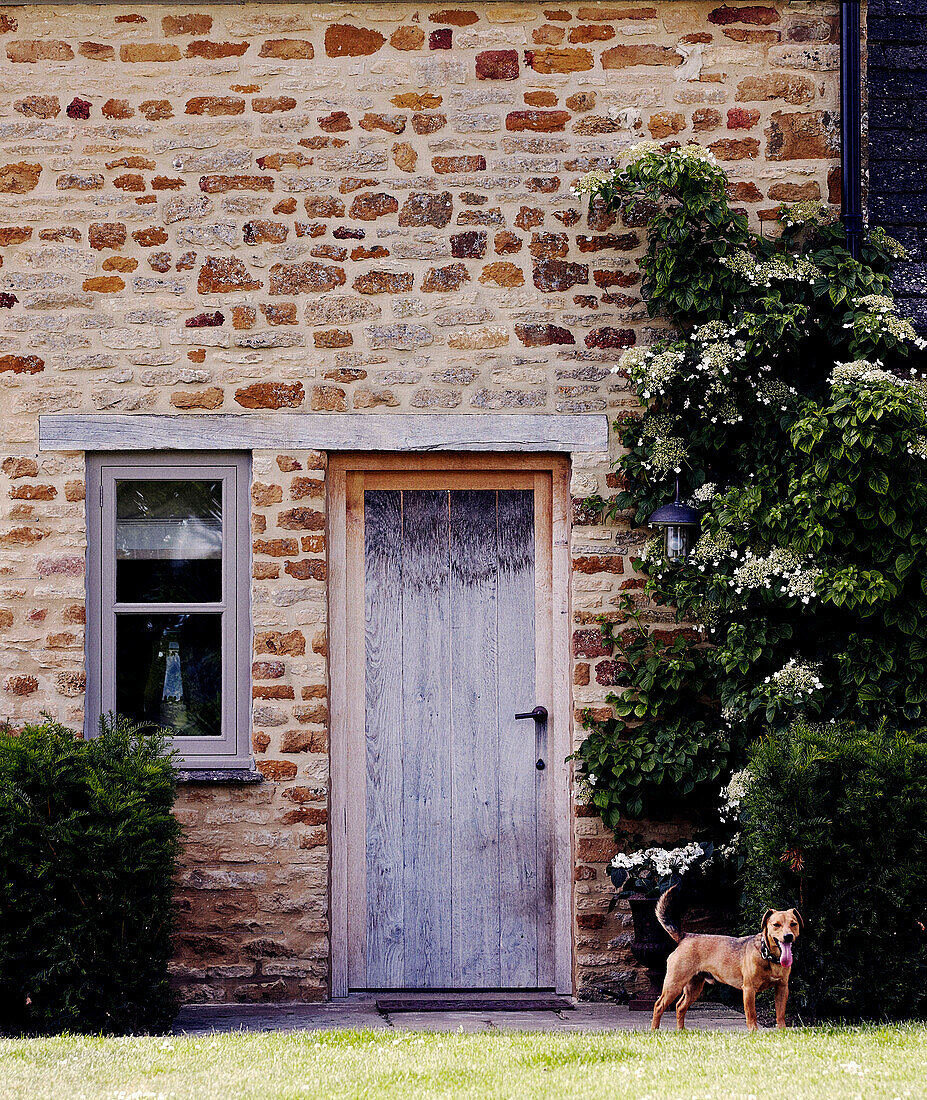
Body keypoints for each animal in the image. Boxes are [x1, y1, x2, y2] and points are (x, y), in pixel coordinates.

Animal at [650, 884, 800, 1029]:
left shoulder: (782, 988)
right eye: (776, 925)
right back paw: (654, 1030)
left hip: (694, 986)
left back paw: (681, 1031)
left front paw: (782, 1031)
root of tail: (685, 936)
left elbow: (780, 1015)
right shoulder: (749, 989)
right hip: (674, 983)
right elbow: (752, 1016)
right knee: (659, 1006)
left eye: (793, 924)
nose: (788, 936)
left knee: (680, 1007)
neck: (768, 956)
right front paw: (754, 1032)